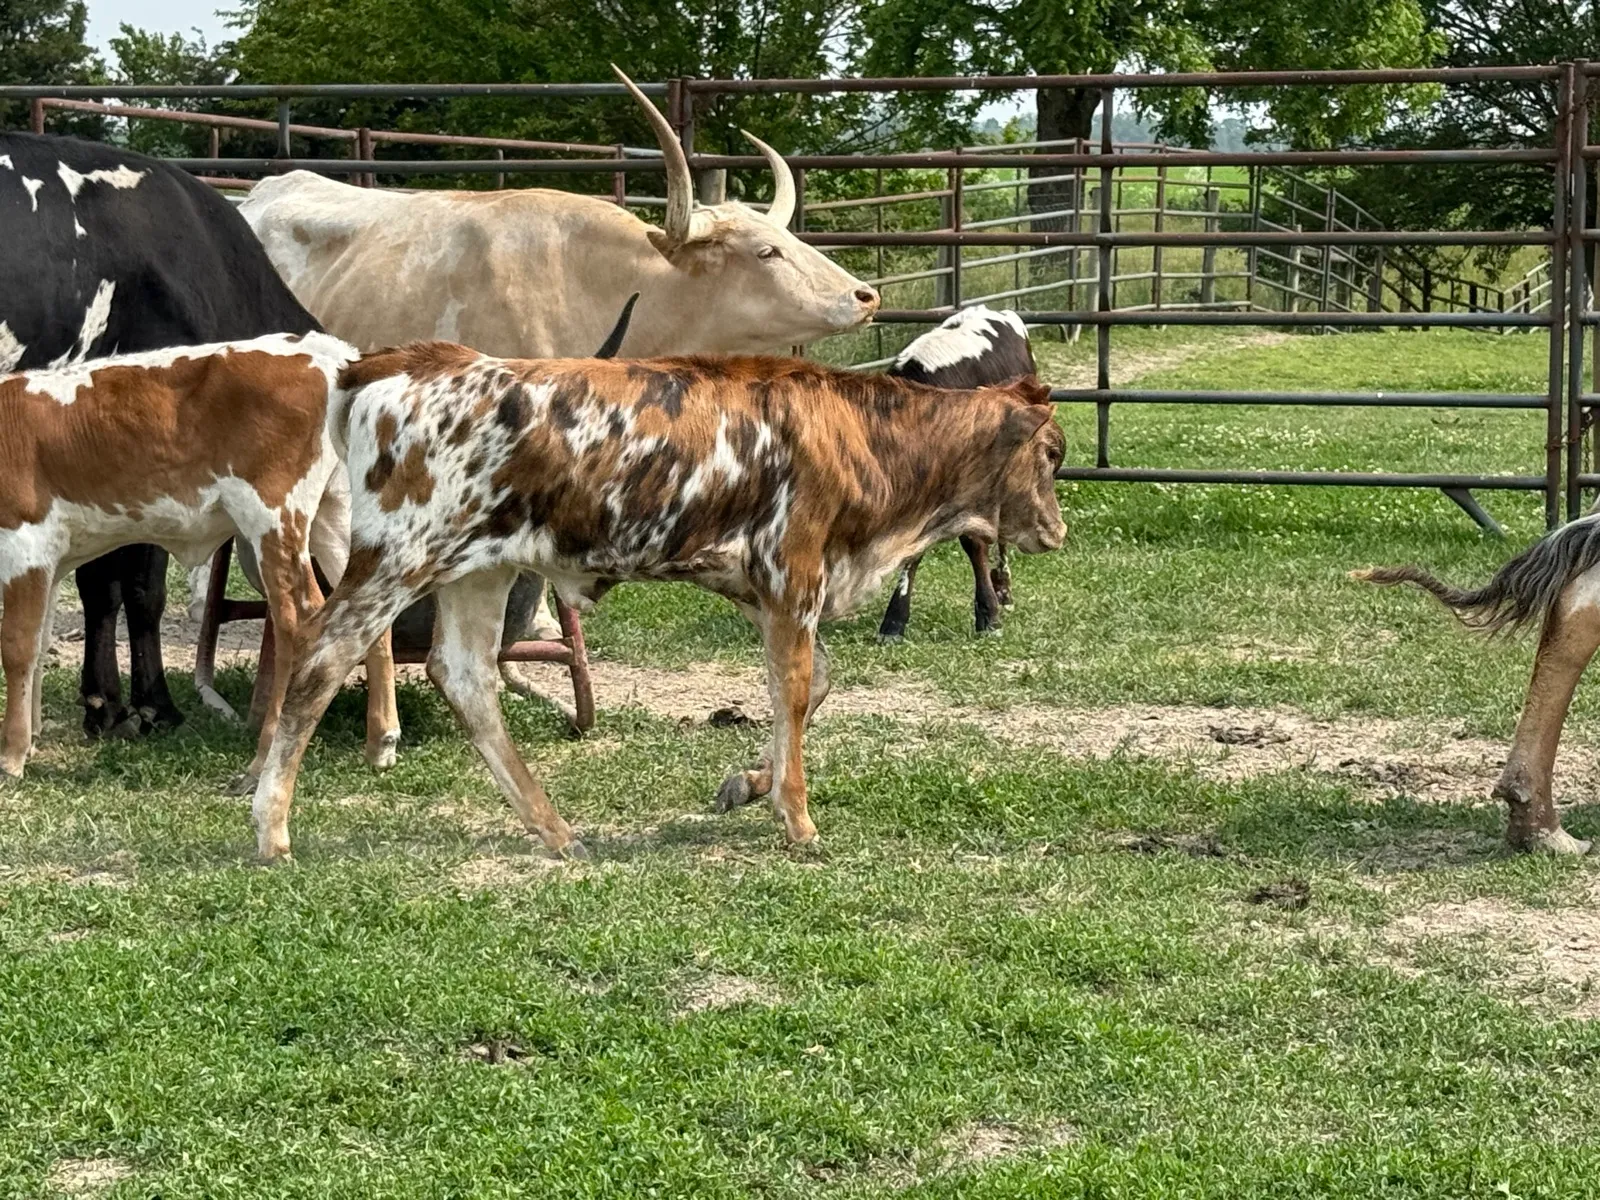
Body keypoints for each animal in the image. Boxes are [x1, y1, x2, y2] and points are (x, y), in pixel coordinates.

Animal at [0, 333, 399, 789]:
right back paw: (381, 744)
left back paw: (263, 760)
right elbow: (38, 645)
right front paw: (30, 740)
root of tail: (325, 350)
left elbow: (17, 648)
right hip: (331, 512)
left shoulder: (24, 541)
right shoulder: (51, 560)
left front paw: (11, 755)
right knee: (367, 615)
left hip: (272, 516)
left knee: (300, 623)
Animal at [246, 347, 1067, 863]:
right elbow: (797, 688)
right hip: (397, 556)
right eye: (1054, 454)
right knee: (322, 653)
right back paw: (271, 828)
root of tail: (405, 361)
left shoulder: (757, 586)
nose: (1058, 531)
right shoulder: (792, 572)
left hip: (478, 566)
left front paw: (750, 784)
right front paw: (796, 815)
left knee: (464, 675)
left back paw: (554, 829)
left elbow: (808, 687)